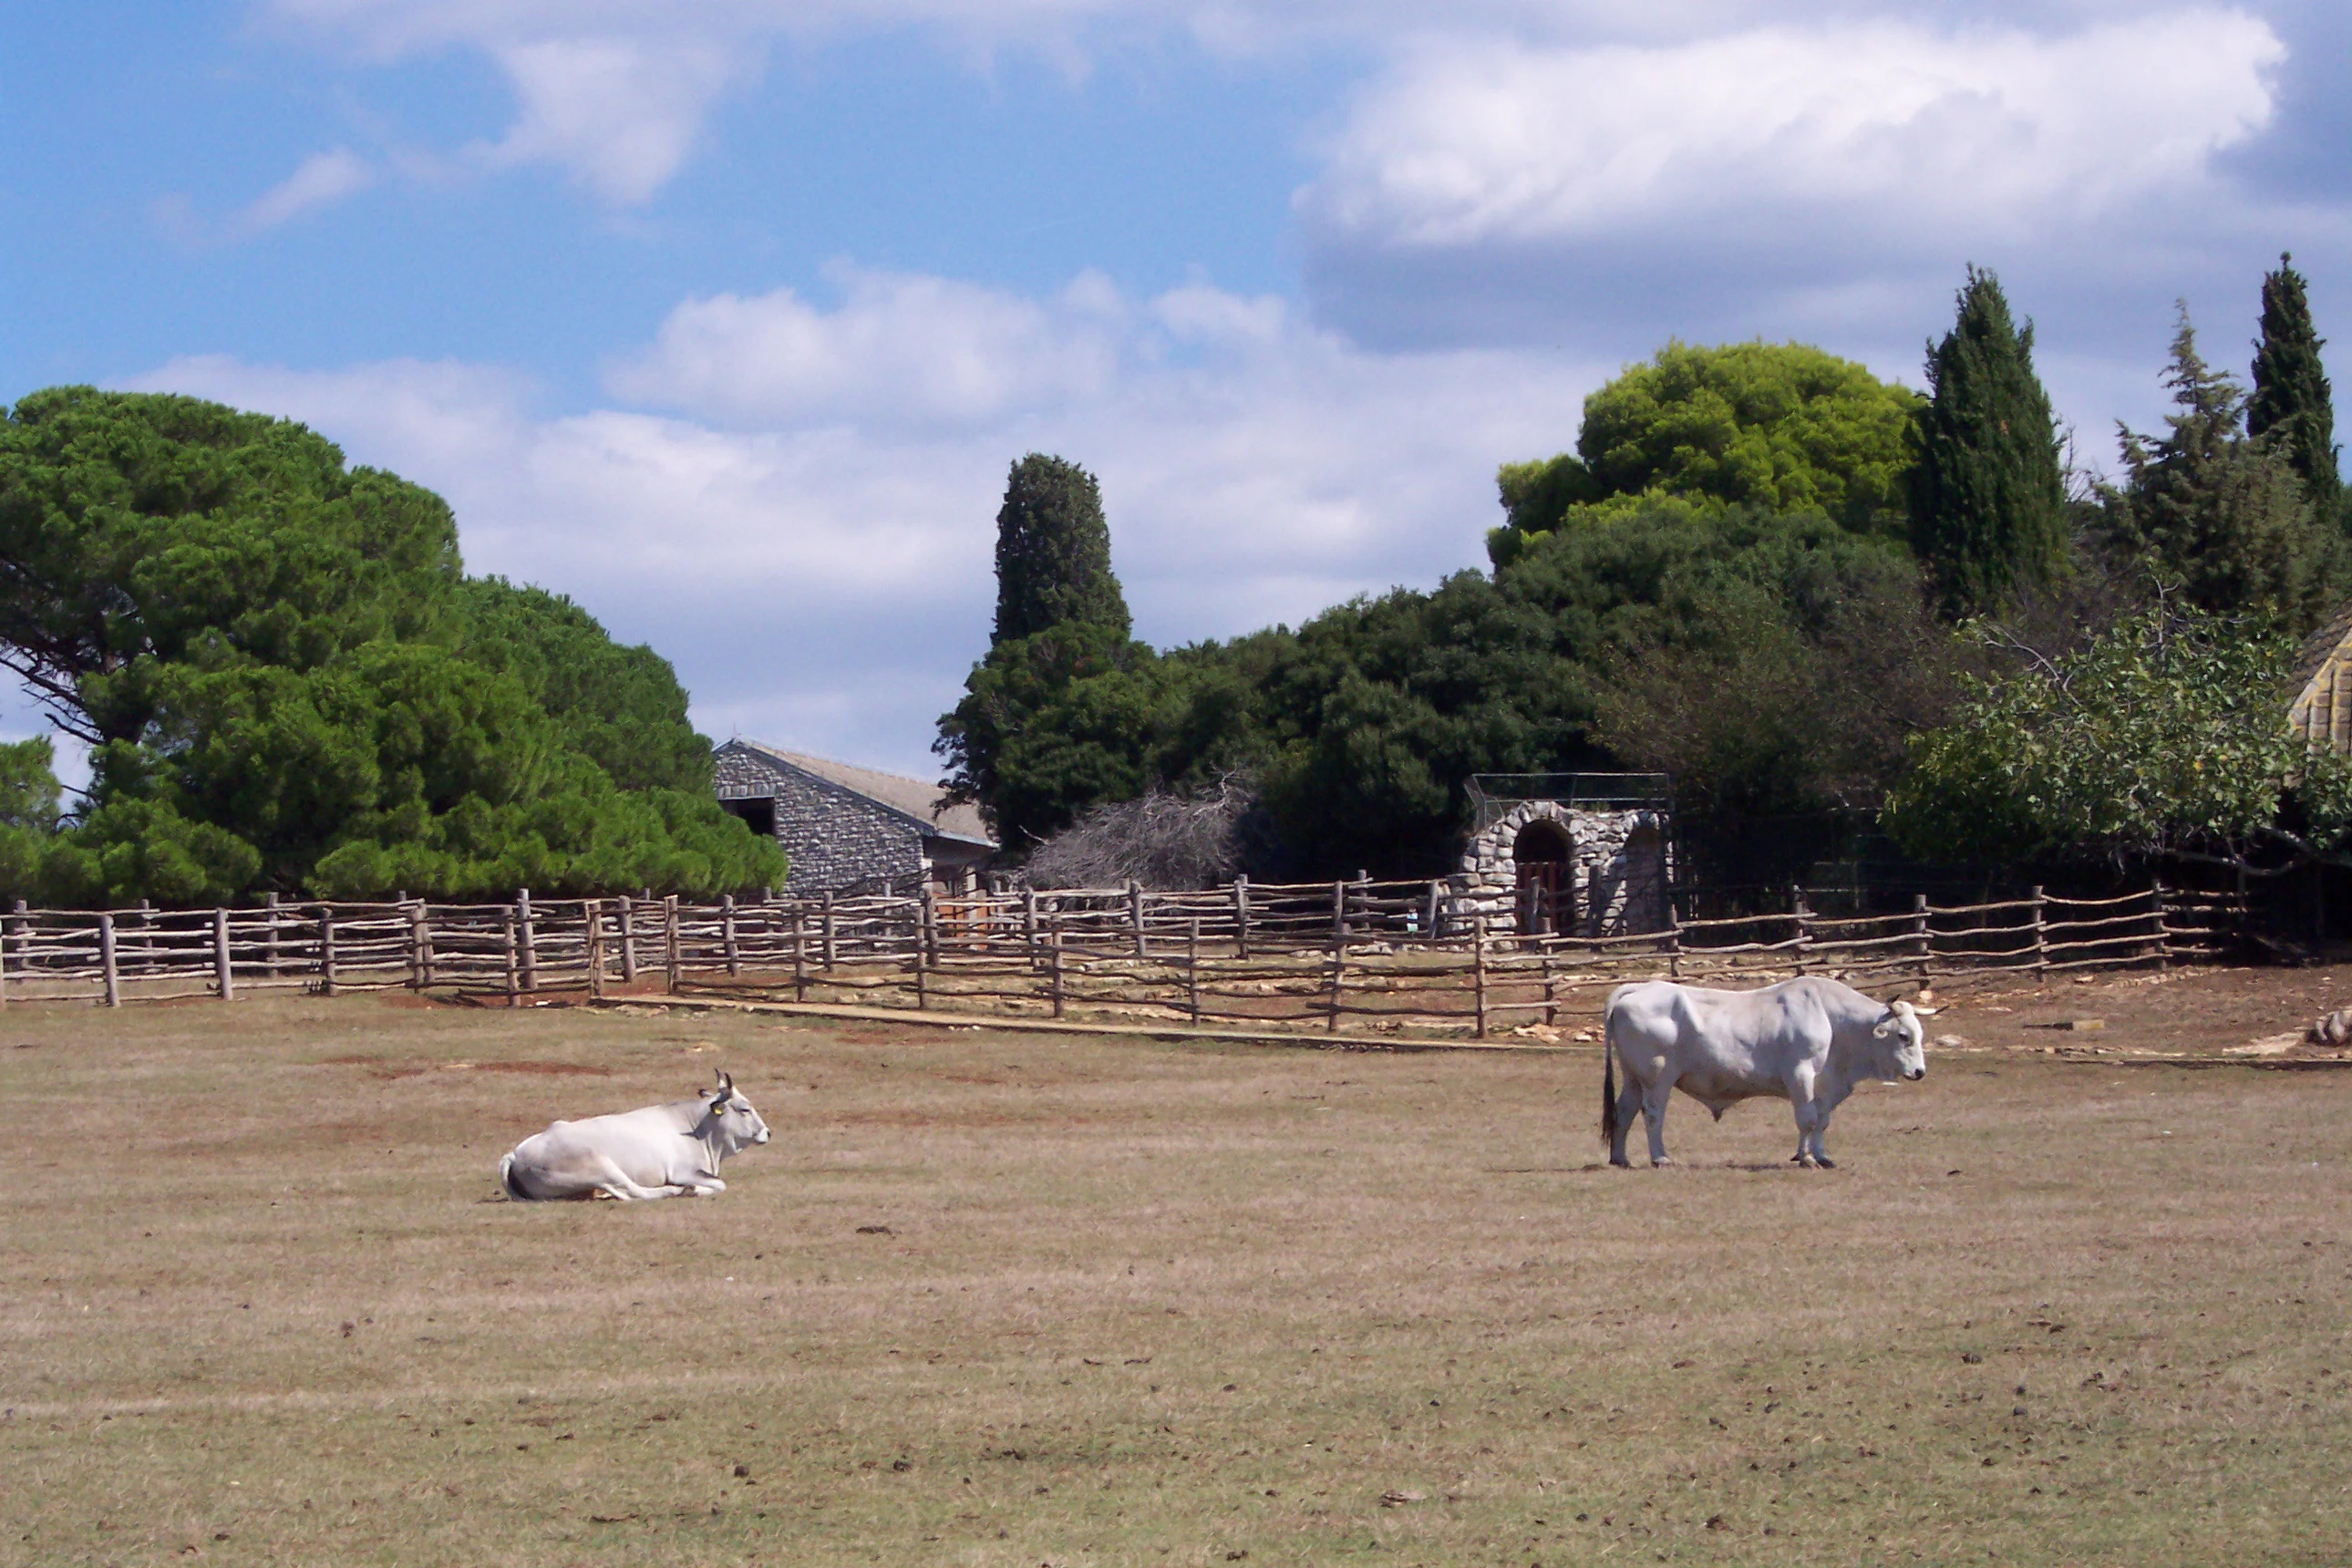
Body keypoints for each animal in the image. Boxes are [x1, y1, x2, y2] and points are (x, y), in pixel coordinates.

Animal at [499, 1071, 771, 1201]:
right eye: (745, 1109)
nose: (767, 1132)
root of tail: (515, 1154)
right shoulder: (685, 1171)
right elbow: (720, 1184)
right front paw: (695, 1189)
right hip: (601, 1166)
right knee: (637, 1192)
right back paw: (677, 1191)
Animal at [1600, 977, 1931, 1170]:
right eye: (1903, 1036)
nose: (1920, 1071)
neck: (1831, 1017)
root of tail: (1641, 988)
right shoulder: (1800, 1074)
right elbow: (1807, 1119)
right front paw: (1806, 1158)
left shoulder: (1824, 1085)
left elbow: (1821, 1121)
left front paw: (1820, 1155)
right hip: (1657, 1078)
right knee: (1652, 1114)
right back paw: (1660, 1157)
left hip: (1633, 1078)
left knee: (1624, 1111)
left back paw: (1620, 1158)